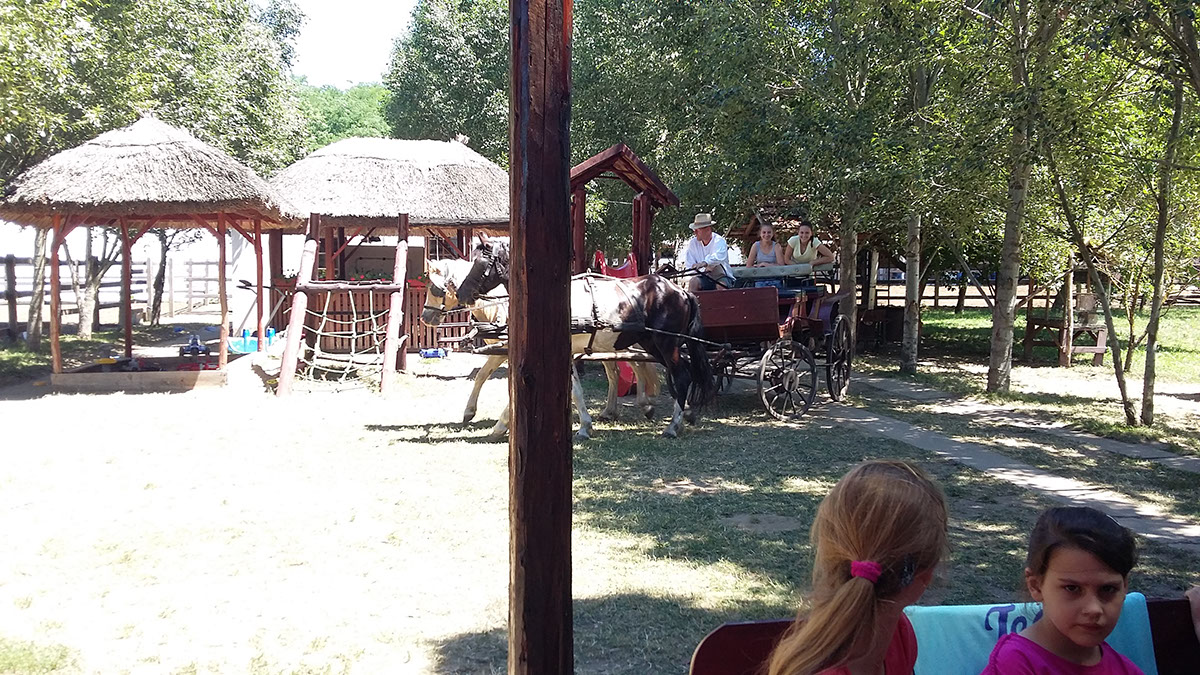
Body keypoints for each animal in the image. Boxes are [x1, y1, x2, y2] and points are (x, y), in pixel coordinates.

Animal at [420, 254, 716, 439]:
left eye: (436, 289)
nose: (425, 317)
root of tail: (680, 290)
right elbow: (574, 389)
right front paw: (585, 426)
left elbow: (495, 379)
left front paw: (496, 424)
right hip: (648, 343)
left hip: (665, 344)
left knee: (681, 375)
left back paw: (672, 424)